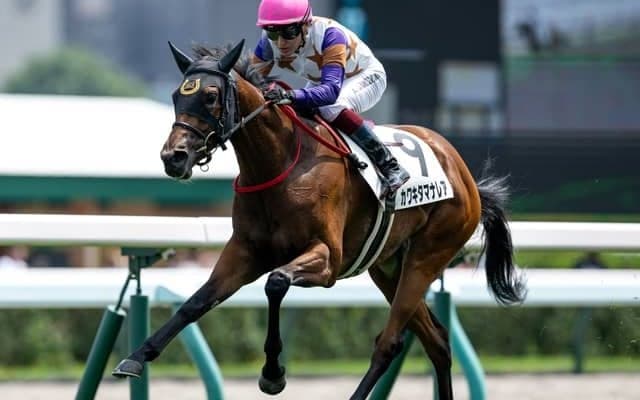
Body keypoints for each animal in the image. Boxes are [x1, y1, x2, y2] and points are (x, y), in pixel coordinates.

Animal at [112, 40, 526, 400]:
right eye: (176, 95)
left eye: (210, 96)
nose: (174, 157)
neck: (281, 162)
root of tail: (465, 176)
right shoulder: (245, 252)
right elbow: (196, 302)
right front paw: (135, 358)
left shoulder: (326, 259)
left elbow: (276, 283)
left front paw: (273, 374)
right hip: (389, 268)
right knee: (436, 343)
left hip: (427, 257)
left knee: (389, 343)